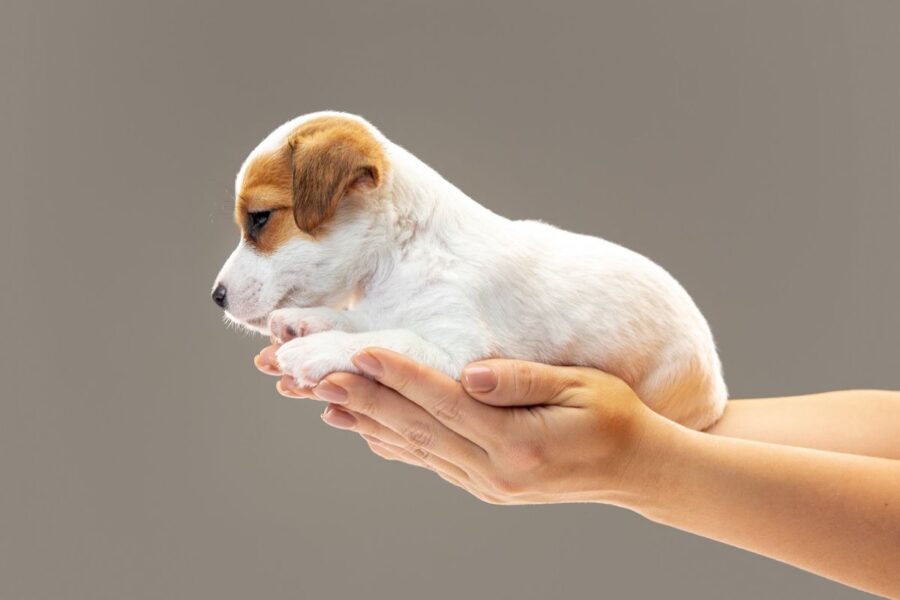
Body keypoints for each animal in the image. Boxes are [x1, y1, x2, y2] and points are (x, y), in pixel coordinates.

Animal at [214, 112, 728, 428]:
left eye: (259, 218)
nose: (215, 297)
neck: (401, 255)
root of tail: (719, 393)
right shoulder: (387, 308)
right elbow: (370, 322)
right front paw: (310, 322)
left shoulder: (461, 353)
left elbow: (384, 338)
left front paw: (316, 349)